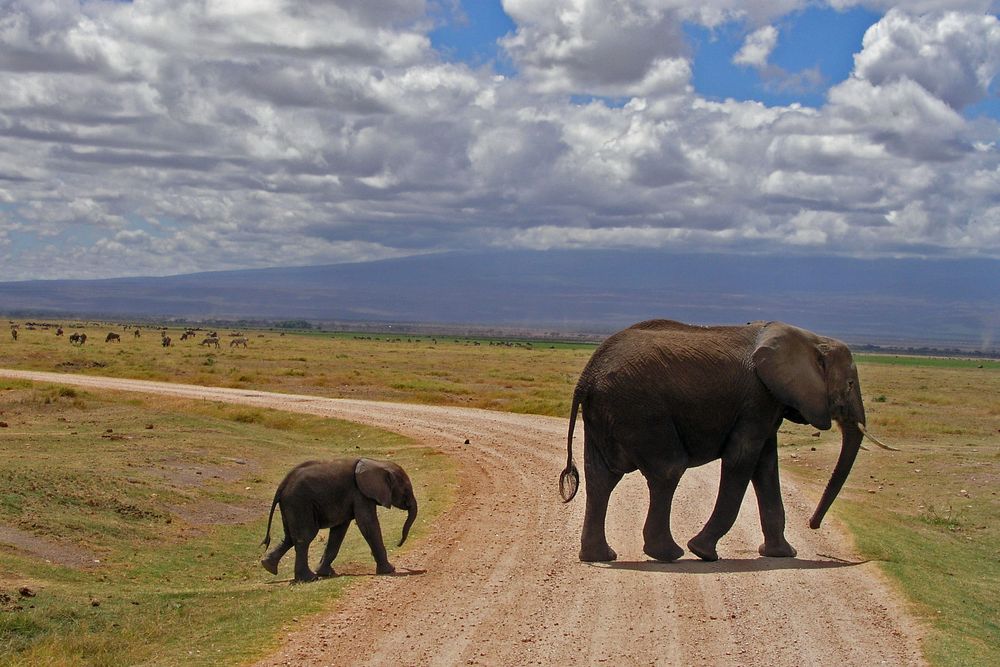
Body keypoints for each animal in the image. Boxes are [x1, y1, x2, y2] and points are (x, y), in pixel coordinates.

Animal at [262, 456, 418, 580]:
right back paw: (309, 578)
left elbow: (339, 530)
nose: (398, 544)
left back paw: (268, 566)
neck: (378, 462)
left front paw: (325, 573)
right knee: (304, 537)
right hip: (299, 502)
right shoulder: (360, 494)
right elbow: (367, 524)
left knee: (289, 537)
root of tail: (282, 485)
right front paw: (390, 570)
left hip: (291, 505)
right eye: (406, 490)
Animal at [560, 320, 896, 564]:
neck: (810, 338)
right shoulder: (758, 398)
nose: (813, 525)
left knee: (601, 478)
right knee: (668, 469)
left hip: (609, 413)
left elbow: (766, 466)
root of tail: (585, 379)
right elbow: (742, 459)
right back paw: (669, 554)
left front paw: (782, 554)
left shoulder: (767, 403)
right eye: (850, 384)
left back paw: (601, 557)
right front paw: (703, 552)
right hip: (640, 411)